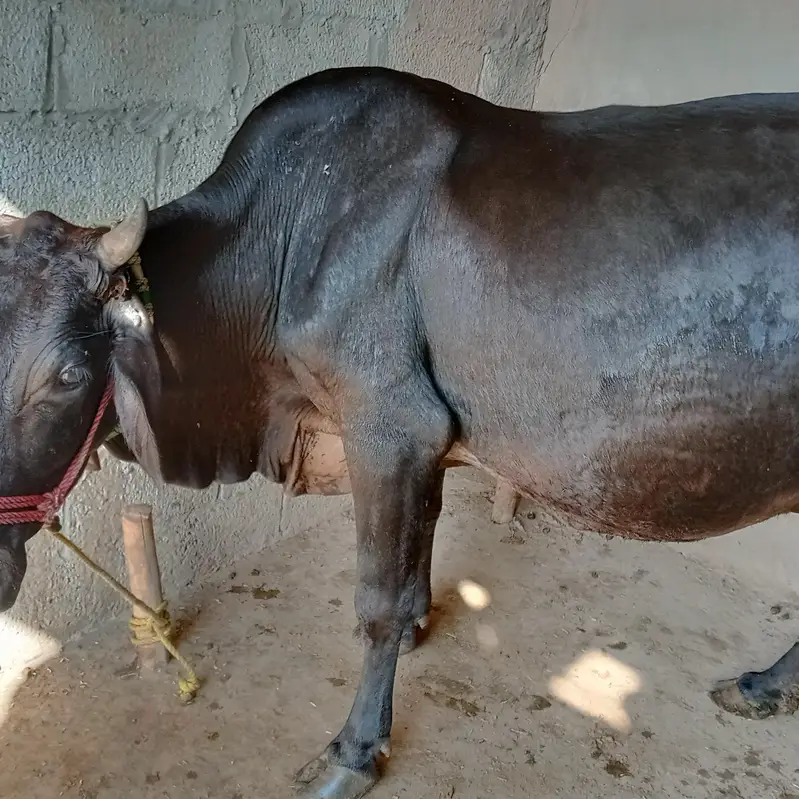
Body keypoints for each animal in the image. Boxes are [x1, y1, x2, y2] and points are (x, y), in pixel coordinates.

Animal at [2, 66, 799, 798]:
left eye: (70, 374)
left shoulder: (390, 425)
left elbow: (377, 599)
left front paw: (354, 751)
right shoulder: (428, 443)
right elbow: (422, 539)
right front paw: (419, 626)